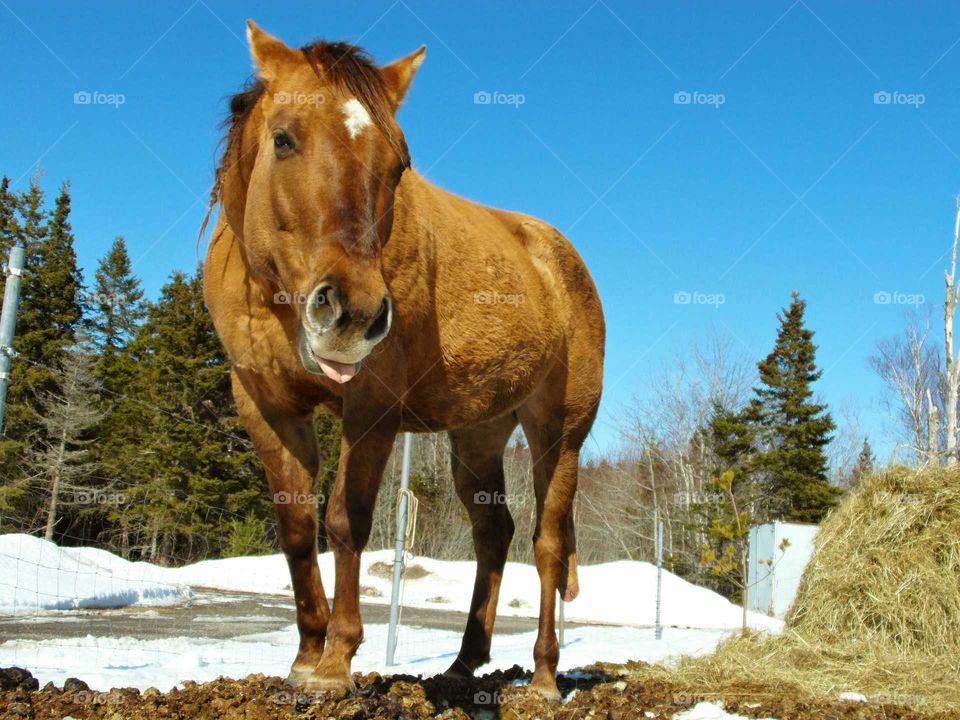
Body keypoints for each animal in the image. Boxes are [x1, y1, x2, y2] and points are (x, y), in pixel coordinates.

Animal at [202, 19, 604, 700]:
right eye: (283, 139)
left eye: (398, 165)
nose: (354, 314)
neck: (275, 298)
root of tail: (561, 256)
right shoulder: (266, 406)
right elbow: (294, 528)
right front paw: (304, 658)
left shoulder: (372, 409)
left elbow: (345, 519)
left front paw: (336, 664)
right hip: (478, 434)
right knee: (494, 534)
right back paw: (462, 666)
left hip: (559, 431)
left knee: (548, 544)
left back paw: (546, 676)